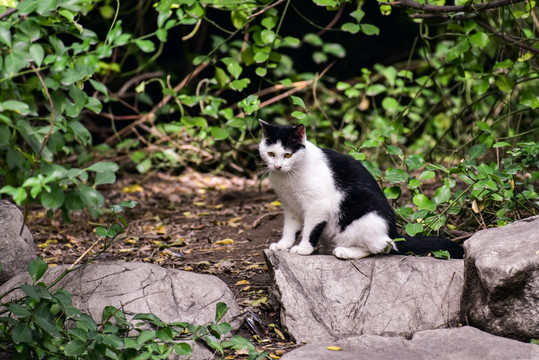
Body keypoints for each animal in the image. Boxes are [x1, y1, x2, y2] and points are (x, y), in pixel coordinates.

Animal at [258, 120, 464, 258]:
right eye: (271, 154)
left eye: (287, 155)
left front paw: (304, 248)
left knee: (383, 247)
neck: (289, 175)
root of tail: (394, 232)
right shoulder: (290, 205)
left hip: (365, 214)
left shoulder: (318, 205)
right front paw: (283, 245)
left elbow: (310, 229)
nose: (277, 166)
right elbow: (290, 228)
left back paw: (344, 251)